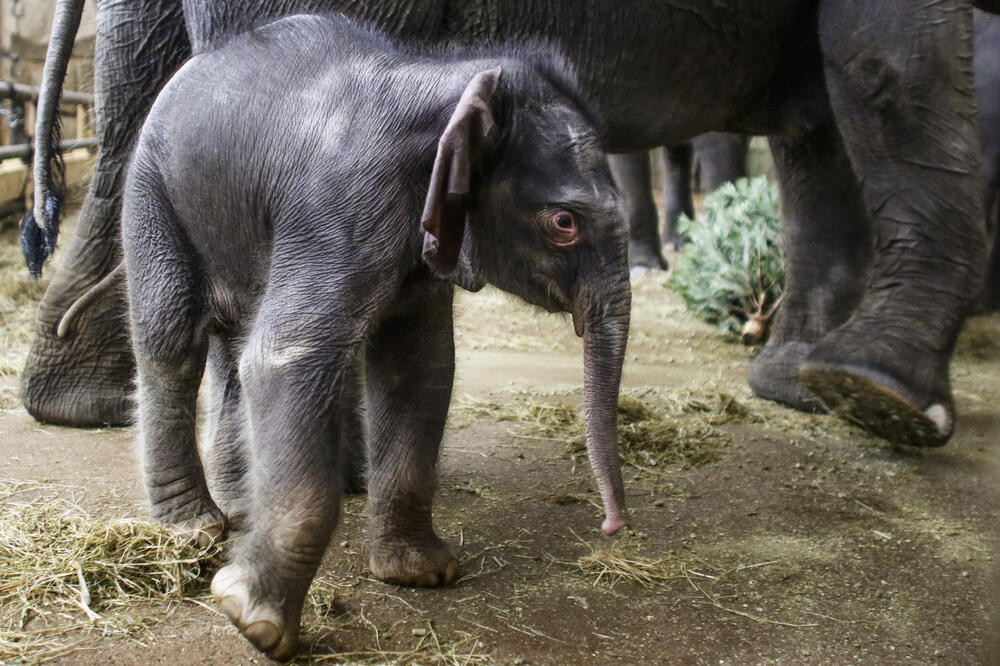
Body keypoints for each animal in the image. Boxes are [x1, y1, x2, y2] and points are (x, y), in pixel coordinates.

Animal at [29, 1, 992, 446]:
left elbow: (824, 123)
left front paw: (807, 390)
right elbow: (886, 68)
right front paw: (879, 401)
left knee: (133, 105)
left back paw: (88, 408)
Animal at [121, 10, 628, 660]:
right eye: (564, 222)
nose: (612, 526)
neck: (451, 85)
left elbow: (418, 368)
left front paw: (422, 573)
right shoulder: (344, 203)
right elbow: (289, 357)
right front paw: (252, 620)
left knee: (232, 348)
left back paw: (241, 508)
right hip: (153, 191)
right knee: (172, 339)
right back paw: (194, 529)